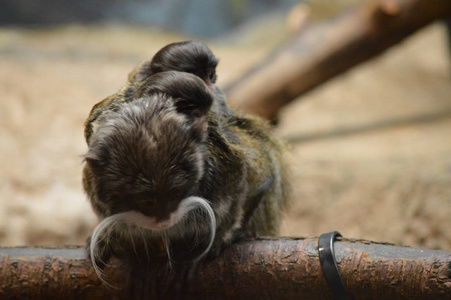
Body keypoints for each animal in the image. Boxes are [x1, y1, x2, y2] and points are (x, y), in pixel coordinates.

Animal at [83, 71, 290, 298]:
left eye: (175, 194)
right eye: (144, 200)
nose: (164, 219)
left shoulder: (221, 169)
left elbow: (244, 182)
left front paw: (215, 242)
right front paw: (125, 249)